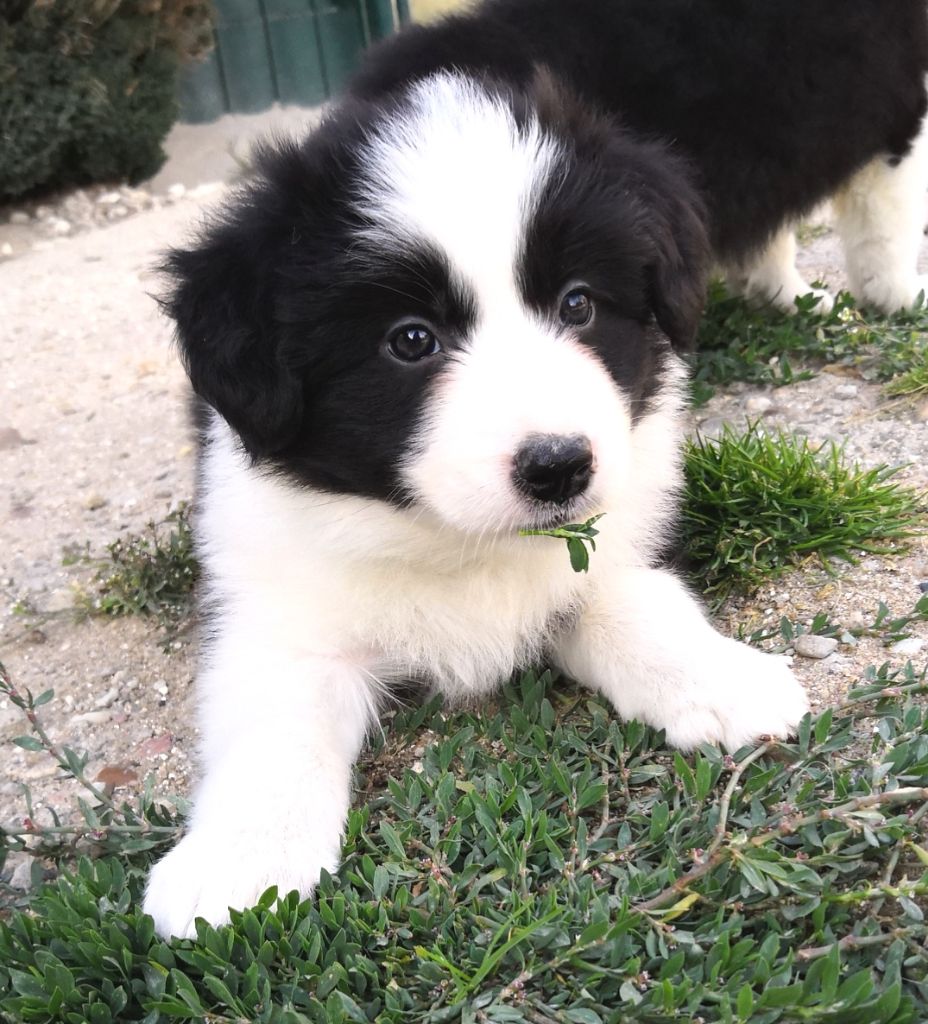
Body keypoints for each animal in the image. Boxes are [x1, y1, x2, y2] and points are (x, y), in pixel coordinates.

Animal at [143, 0, 927, 938]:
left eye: (579, 303)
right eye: (410, 340)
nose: (559, 468)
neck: (458, 542)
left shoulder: (612, 526)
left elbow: (629, 596)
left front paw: (719, 677)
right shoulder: (280, 596)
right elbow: (276, 717)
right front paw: (239, 863)